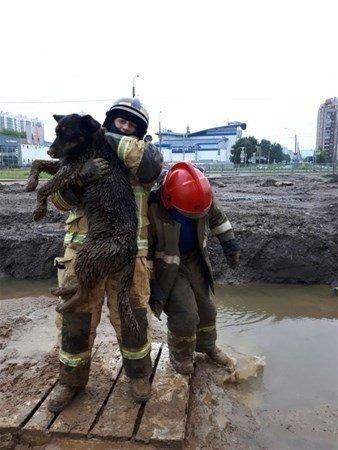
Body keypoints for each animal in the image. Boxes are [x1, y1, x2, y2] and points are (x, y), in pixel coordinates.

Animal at [30, 114, 139, 336]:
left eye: (68, 133)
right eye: (56, 132)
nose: (50, 151)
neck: (90, 143)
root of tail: (132, 249)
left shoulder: (69, 169)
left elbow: (46, 187)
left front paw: (39, 209)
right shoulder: (64, 165)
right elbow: (37, 163)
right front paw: (30, 182)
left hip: (87, 256)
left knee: (84, 292)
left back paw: (65, 305)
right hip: (89, 260)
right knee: (83, 284)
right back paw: (63, 289)